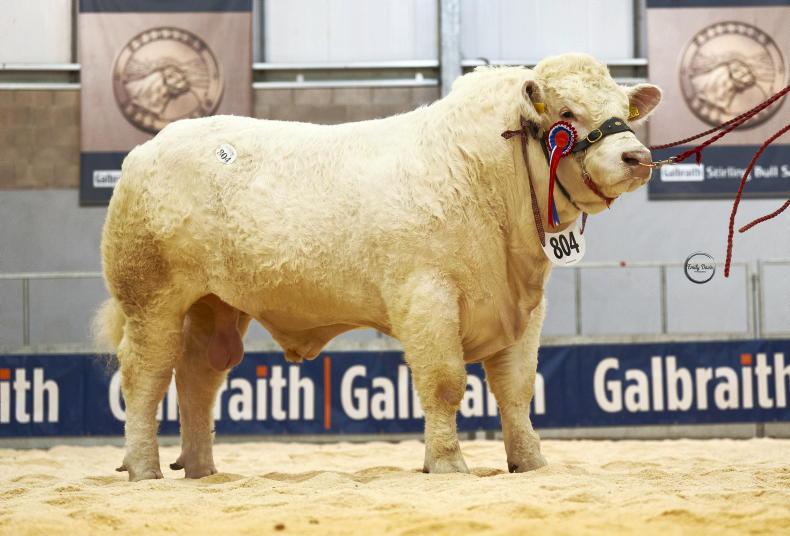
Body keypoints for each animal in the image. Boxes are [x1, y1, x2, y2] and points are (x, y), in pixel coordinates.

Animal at [94, 53, 661, 481]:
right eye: (567, 111)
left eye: (625, 110)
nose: (637, 157)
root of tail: (146, 150)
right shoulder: (426, 296)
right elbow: (445, 382)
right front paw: (447, 464)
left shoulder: (525, 308)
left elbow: (517, 390)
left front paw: (531, 462)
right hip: (151, 298)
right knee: (145, 376)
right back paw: (144, 468)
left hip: (215, 304)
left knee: (199, 375)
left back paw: (201, 469)